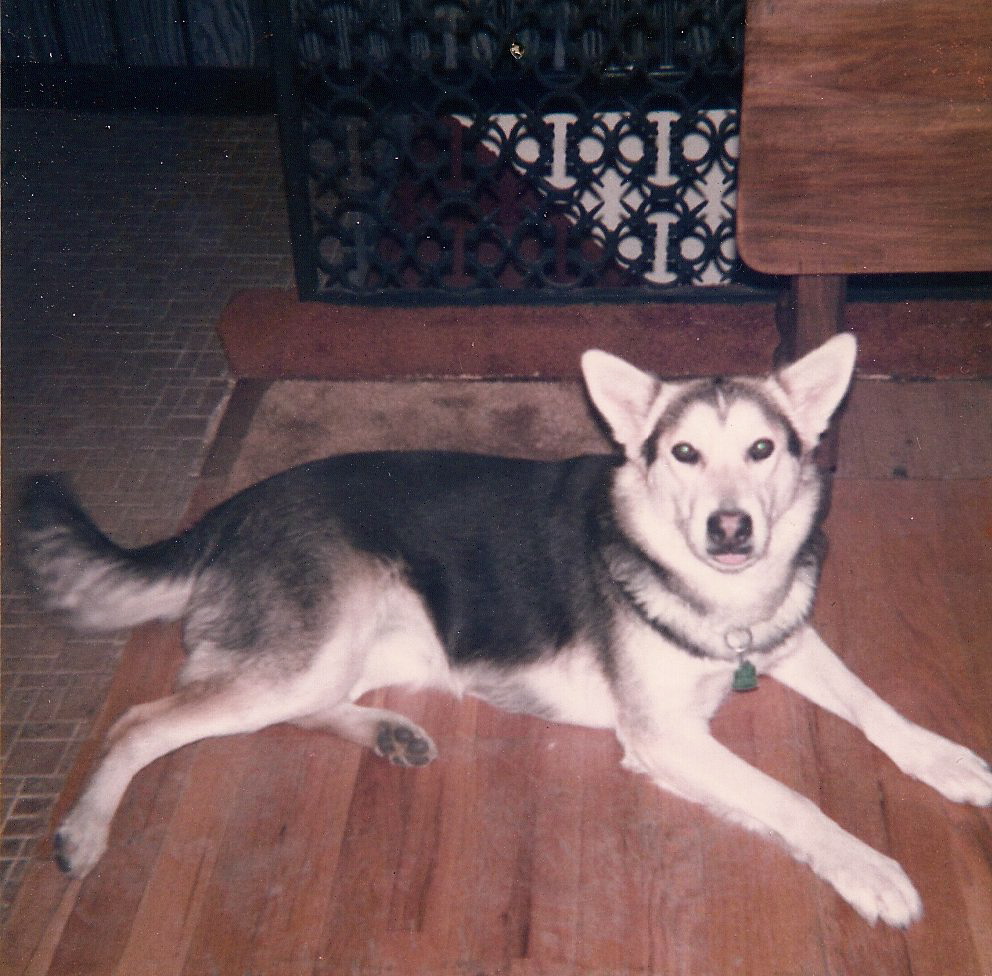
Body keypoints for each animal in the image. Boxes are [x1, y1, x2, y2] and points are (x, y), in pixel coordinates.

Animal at [15, 334, 992, 924]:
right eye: (683, 454)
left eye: (764, 450)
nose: (731, 530)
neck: (720, 596)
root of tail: (232, 506)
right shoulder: (666, 738)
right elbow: (794, 800)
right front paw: (866, 865)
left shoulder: (785, 641)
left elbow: (877, 708)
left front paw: (943, 759)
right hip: (308, 651)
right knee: (145, 720)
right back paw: (86, 827)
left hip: (349, 653)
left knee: (260, 704)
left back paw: (389, 732)